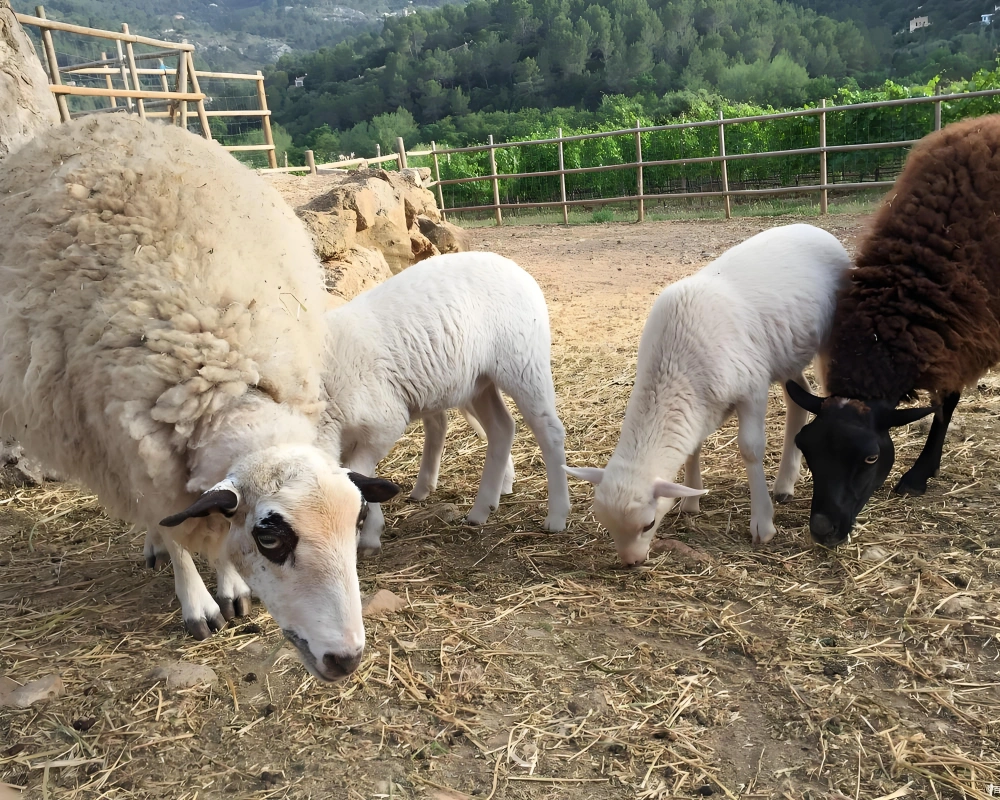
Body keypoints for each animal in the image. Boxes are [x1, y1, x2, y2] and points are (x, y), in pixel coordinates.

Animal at [0, 114, 400, 679]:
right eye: (271, 538)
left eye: (358, 520)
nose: (346, 658)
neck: (224, 384)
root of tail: (96, 118)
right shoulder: (143, 457)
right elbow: (178, 533)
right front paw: (199, 604)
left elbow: (212, 530)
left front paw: (231, 586)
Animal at [318, 251, 571, 555]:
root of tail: (515, 267)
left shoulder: (383, 422)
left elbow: (359, 472)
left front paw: (370, 534)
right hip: (479, 380)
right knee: (501, 428)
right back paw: (481, 510)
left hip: (522, 361)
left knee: (549, 430)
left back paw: (556, 516)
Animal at [565, 223, 853, 565]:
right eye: (605, 523)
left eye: (648, 524)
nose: (631, 562)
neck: (672, 368)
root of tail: (815, 228)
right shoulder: (700, 404)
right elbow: (693, 448)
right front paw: (691, 501)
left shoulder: (752, 388)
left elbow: (750, 449)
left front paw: (762, 524)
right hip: (784, 353)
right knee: (800, 398)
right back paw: (785, 484)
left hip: (829, 338)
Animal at [787, 114, 1000, 548]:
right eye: (806, 448)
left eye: (871, 457)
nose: (822, 531)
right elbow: (946, 398)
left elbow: (946, 402)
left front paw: (918, 475)